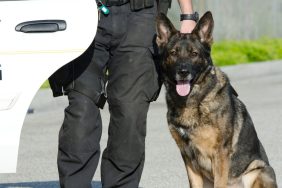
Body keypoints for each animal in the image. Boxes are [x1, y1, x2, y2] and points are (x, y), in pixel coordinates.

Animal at [156, 11, 278, 188]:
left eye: (194, 54)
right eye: (173, 53)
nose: (183, 72)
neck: (195, 101)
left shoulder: (219, 154)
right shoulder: (188, 157)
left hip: (259, 170)